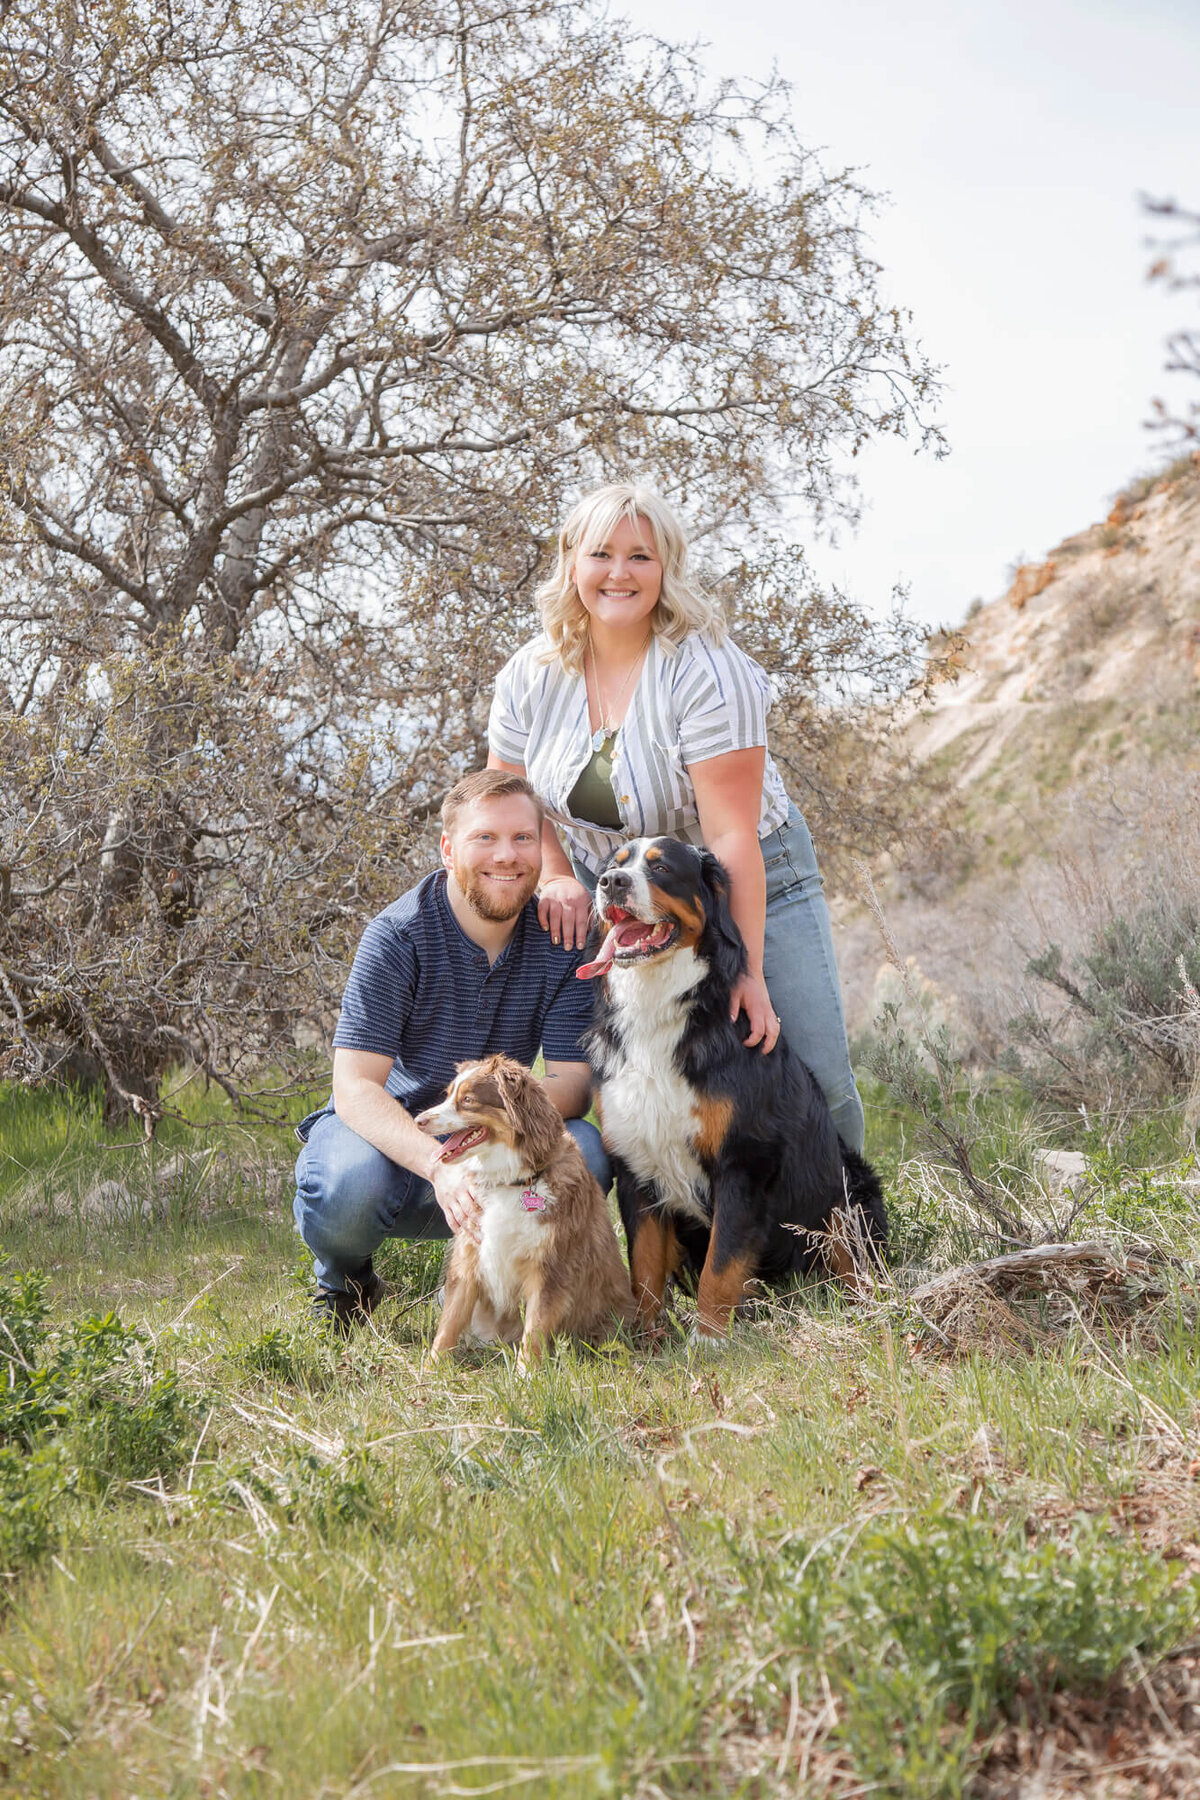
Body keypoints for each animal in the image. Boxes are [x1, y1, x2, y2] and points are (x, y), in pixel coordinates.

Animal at [415, 1051, 636, 1368]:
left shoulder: (551, 1268)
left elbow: (534, 1330)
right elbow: (449, 1322)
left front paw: (526, 1374)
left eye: (467, 1100)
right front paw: (431, 1368)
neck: (512, 1181)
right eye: (447, 1095)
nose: (418, 1120)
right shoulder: (468, 1257)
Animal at [575, 838, 888, 1339]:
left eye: (661, 868)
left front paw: (709, 1339)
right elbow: (643, 1266)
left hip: (847, 1195)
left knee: (852, 1264)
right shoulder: (637, 1164)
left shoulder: (743, 1160)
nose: (611, 884)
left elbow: (721, 1265)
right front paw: (648, 1338)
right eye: (613, 866)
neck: (656, 1010)